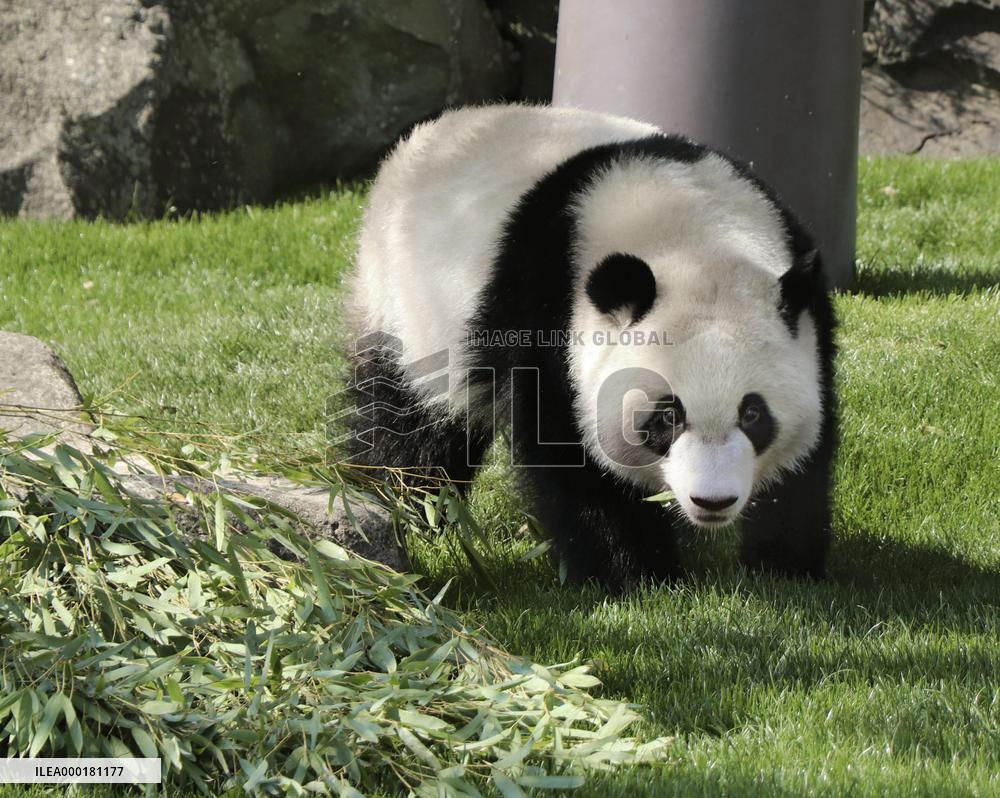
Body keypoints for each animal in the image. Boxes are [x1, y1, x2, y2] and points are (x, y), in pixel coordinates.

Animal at [345, 104, 837, 592]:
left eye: (753, 414)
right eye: (666, 416)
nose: (712, 501)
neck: (696, 238)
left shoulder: (811, 315)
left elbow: (810, 448)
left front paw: (783, 567)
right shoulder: (545, 318)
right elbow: (572, 458)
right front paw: (640, 578)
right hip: (406, 303)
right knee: (408, 424)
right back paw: (408, 508)